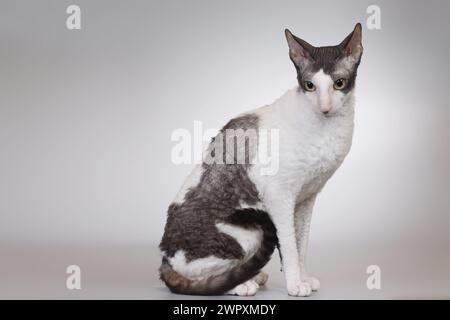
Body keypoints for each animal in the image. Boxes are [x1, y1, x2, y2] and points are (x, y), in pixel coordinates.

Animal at [158, 23, 362, 296]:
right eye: (309, 86)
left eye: (339, 83)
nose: (325, 108)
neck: (327, 129)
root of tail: (165, 257)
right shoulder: (279, 196)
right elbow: (289, 245)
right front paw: (295, 285)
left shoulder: (306, 198)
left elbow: (301, 244)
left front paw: (303, 278)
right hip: (248, 230)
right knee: (198, 274)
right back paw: (242, 284)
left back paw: (255, 275)